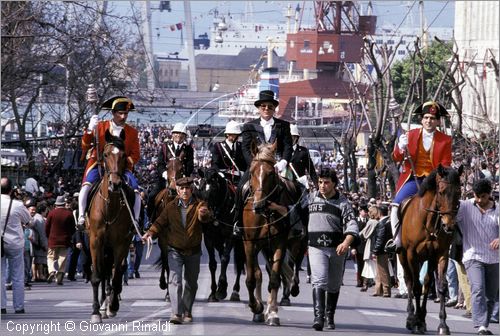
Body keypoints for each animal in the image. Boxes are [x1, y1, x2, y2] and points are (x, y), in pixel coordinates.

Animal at [87, 130, 136, 324]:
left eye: (123, 155)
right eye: (106, 154)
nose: (115, 184)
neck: (110, 207)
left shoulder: (121, 243)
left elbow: (116, 277)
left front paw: (113, 306)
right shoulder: (95, 241)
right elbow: (96, 276)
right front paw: (95, 312)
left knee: (114, 272)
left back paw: (108, 304)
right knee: (104, 272)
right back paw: (102, 305)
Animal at [197, 168, 248, 302]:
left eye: (214, 188)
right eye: (201, 187)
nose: (204, 213)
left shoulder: (230, 236)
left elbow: (225, 259)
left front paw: (221, 290)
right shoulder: (209, 238)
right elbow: (213, 264)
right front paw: (213, 293)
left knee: (239, 262)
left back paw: (235, 291)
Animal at [242, 142, 300, 326]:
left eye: (270, 173)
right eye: (252, 171)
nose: (258, 205)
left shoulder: (279, 243)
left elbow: (274, 278)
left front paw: (273, 313)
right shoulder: (250, 243)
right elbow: (251, 278)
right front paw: (256, 307)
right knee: (259, 274)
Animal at [396, 165, 462, 334]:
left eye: (459, 192)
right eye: (441, 192)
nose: (449, 226)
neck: (430, 222)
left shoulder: (440, 254)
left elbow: (441, 286)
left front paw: (442, 324)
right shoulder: (411, 254)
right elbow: (416, 287)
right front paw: (415, 322)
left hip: (428, 259)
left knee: (426, 282)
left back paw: (422, 318)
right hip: (403, 257)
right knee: (409, 281)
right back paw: (411, 317)